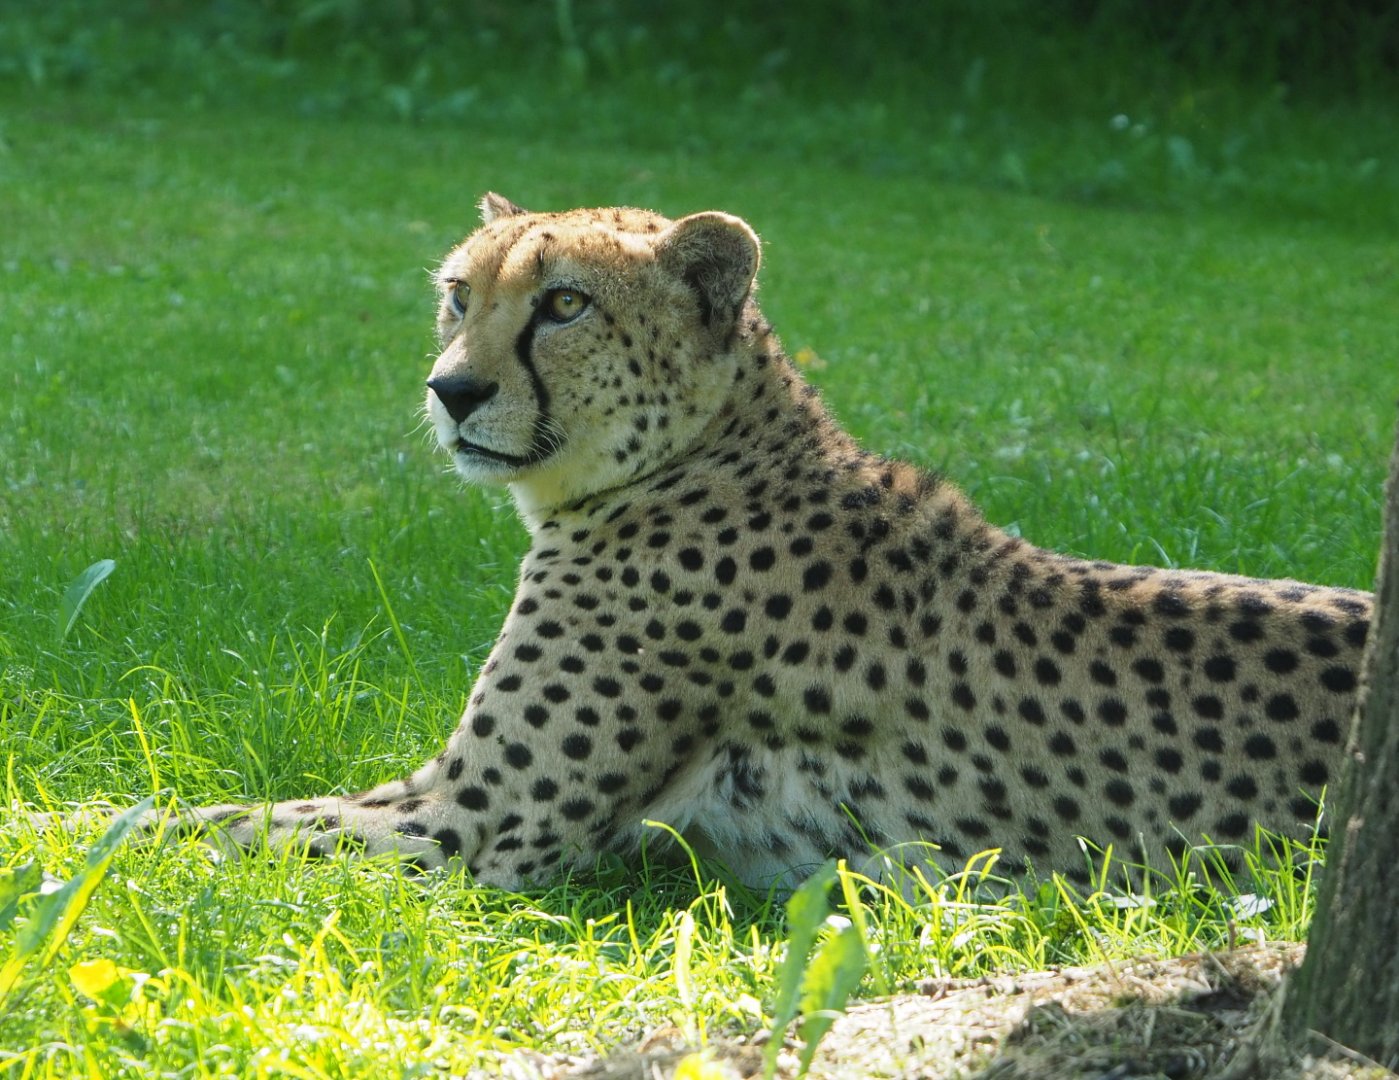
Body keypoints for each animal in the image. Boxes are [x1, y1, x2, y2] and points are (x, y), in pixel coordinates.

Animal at [29, 193, 1375, 891]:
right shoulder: (435, 791)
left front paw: (38, 841)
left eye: (564, 304)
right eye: (461, 295)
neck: (690, 458)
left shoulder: (475, 827)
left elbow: (215, 830)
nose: (451, 391)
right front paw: (57, 805)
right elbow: (203, 804)